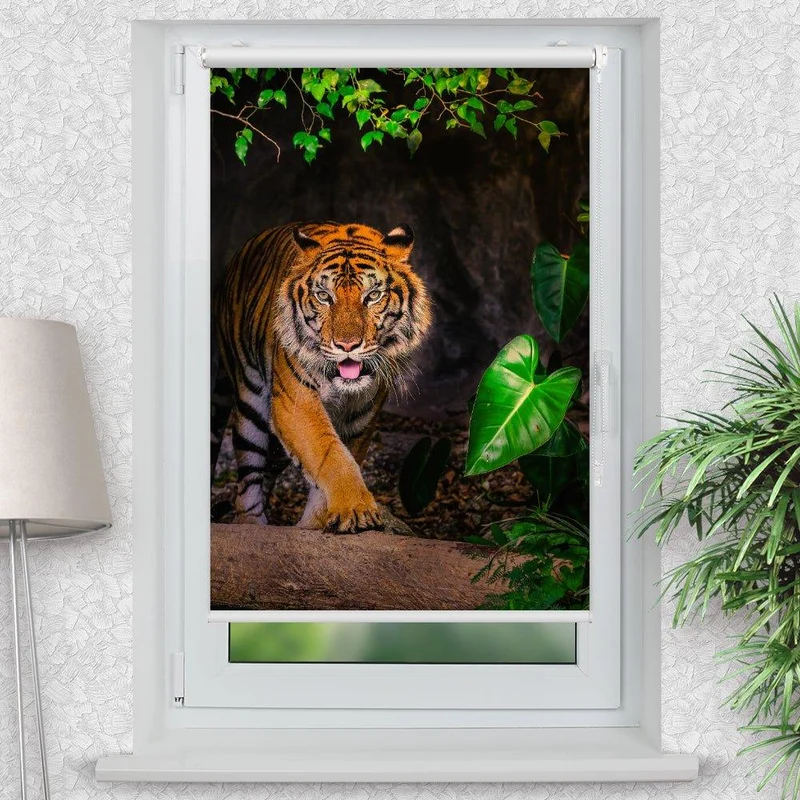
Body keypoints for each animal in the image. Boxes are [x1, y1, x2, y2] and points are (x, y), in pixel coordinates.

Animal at [211, 221, 432, 534]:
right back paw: (253, 524)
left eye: (373, 296)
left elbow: (337, 459)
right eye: (324, 297)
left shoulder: (362, 417)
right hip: (250, 405)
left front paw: (316, 522)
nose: (347, 345)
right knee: (247, 484)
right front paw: (356, 509)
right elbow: (330, 454)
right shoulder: (296, 404)